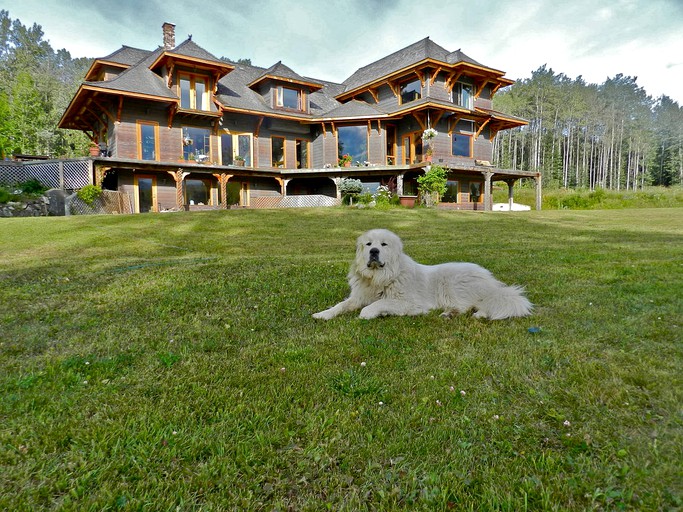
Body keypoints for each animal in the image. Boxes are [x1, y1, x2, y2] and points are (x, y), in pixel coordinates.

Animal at [316, 229, 536, 320]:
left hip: (452, 283)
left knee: (474, 305)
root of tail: (489, 279)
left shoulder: (408, 301)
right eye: (368, 244)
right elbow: (341, 305)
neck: (380, 278)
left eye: (384, 244)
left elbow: (378, 303)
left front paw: (370, 313)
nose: (374, 252)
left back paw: (469, 314)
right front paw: (323, 314)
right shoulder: (358, 297)